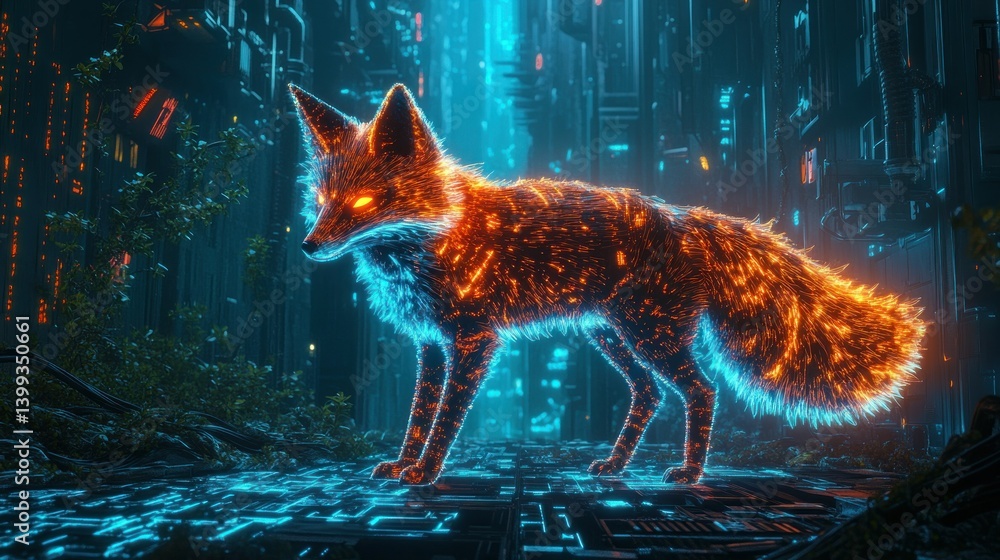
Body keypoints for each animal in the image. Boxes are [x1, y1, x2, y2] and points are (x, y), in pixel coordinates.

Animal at [289, 83, 925, 485]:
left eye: (365, 202)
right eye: (322, 200)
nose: (308, 246)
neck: (431, 240)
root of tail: (686, 216)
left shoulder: (473, 340)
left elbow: (445, 420)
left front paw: (425, 473)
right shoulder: (430, 343)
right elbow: (418, 417)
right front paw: (404, 464)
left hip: (648, 335)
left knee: (701, 390)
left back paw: (691, 473)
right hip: (612, 336)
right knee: (649, 395)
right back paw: (617, 466)